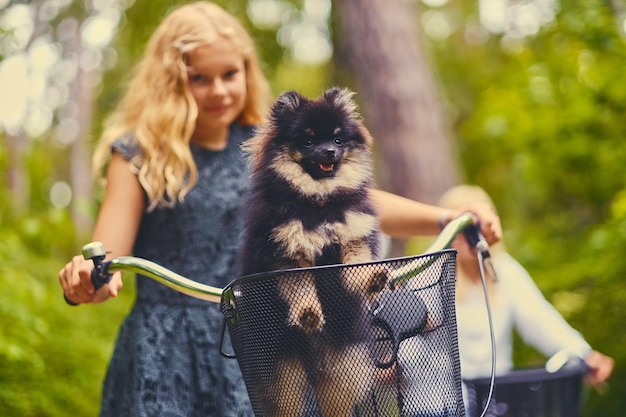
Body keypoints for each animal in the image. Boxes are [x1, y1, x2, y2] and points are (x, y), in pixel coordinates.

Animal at [238, 86, 386, 414]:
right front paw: (307, 313)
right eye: (307, 140)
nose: (329, 151)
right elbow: (300, 288)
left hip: (343, 367)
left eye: (338, 139)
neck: (320, 201)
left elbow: (357, 268)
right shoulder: (288, 253)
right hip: (284, 374)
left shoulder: (352, 238)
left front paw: (373, 278)